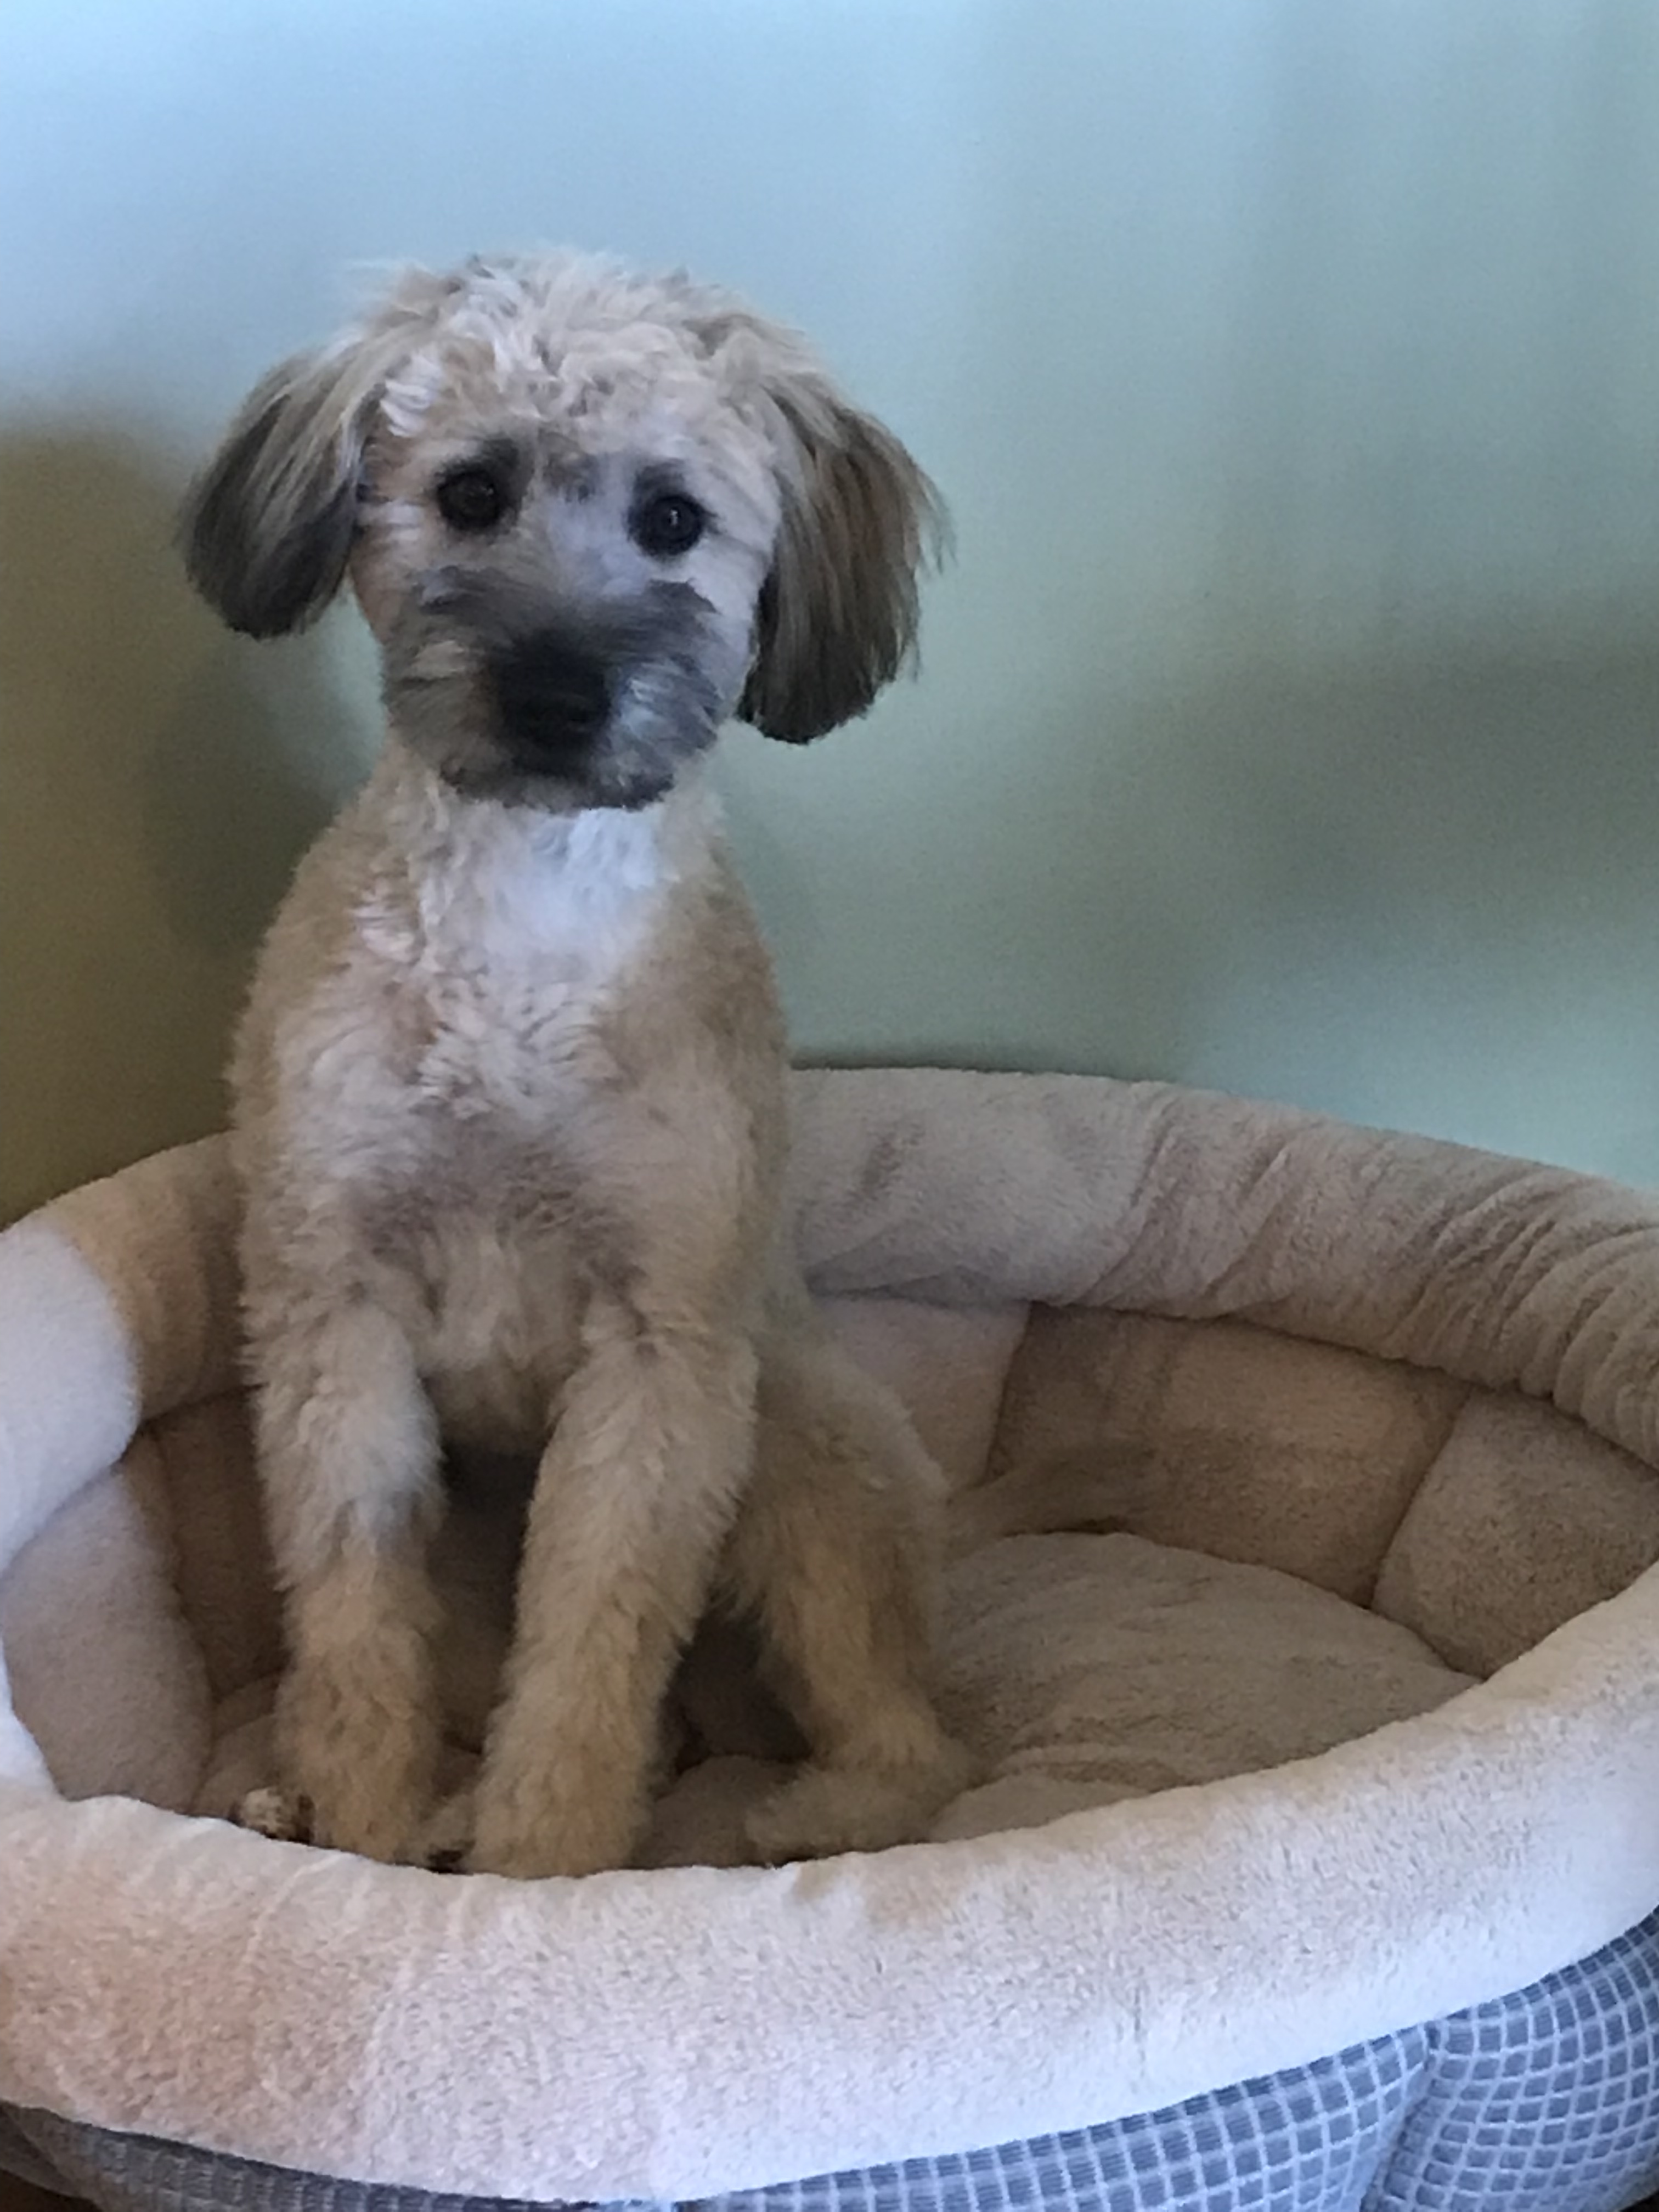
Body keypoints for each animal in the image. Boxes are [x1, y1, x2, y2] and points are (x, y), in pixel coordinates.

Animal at [180, 251, 974, 1878]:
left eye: (673, 518)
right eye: (471, 493)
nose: (555, 692)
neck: (519, 932)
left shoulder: (657, 1362)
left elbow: (590, 1674)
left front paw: (538, 1874)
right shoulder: (333, 1323)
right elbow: (356, 1638)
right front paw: (367, 1843)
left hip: (799, 1448)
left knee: (905, 1744)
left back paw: (810, 1818)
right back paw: (354, 1804)